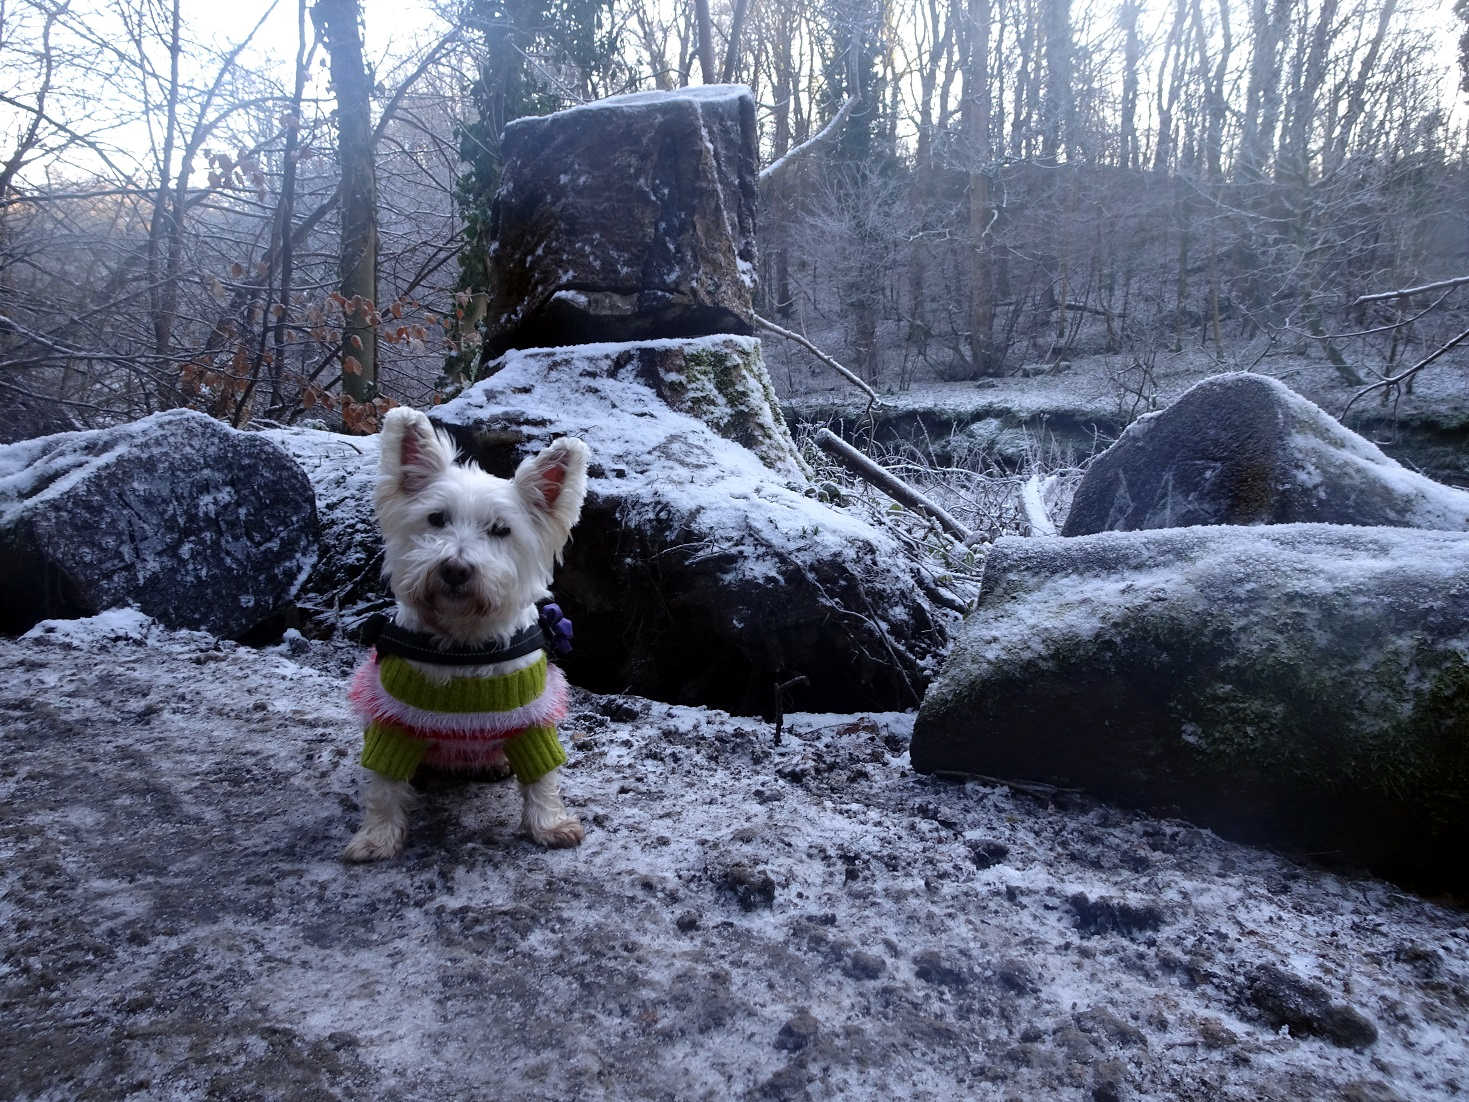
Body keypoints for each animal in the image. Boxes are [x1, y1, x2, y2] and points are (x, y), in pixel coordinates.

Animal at [343, 405, 590, 863]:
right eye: (436, 518)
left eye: (501, 530)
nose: (455, 570)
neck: (462, 644)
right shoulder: (392, 722)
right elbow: (384, 784)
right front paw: (376, 836)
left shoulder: (533, 717)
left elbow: (543, 776)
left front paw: (549, 825)